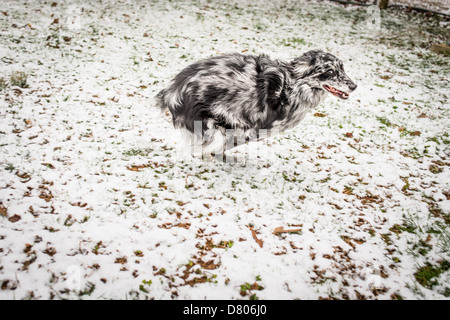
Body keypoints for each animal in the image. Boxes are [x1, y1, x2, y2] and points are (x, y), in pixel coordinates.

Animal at [156, 49, 356, 158]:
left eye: (342, 68)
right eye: (330, 72)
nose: (354, 86)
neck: (293, 86)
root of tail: (172, 91)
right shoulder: (254, 129)